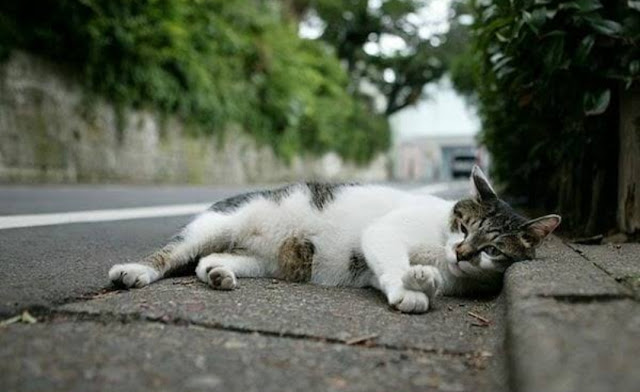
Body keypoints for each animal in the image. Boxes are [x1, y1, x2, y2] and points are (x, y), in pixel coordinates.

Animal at [110, 165, 560, 312]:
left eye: (492, 249)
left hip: (265, 260)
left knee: (208, 260)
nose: (463, 253)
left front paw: (417, 281)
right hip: (218, 223)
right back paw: (134, 272)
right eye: (463, 227)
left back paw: (219, 273)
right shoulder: (385, 232)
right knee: (172, 253)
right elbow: (394, 261)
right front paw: (412, 287)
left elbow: (388, 272)